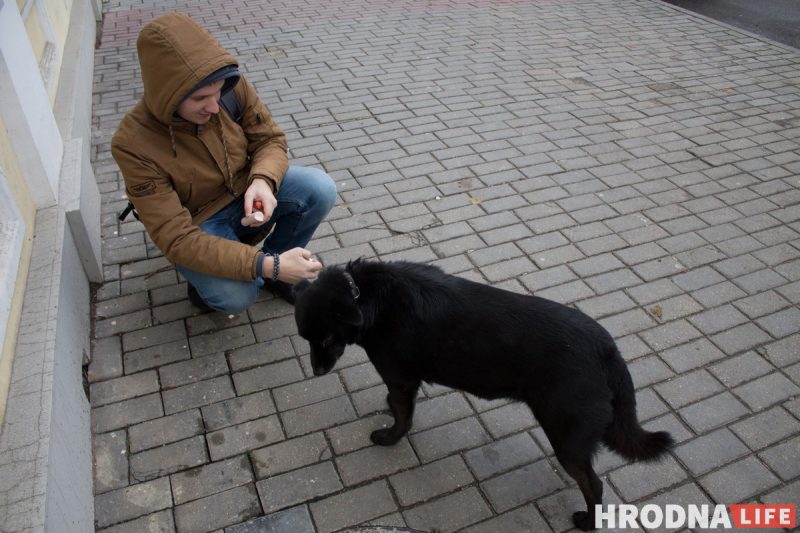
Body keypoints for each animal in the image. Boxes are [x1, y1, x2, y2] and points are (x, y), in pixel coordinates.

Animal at [292, 258, 668, 528]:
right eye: (307, 339)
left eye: (327, 338)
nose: (317, 372)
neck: (364, 293)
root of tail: (606, 349)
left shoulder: (400, 380)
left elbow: (403, 417)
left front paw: (390, 437)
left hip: (568, 438)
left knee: (594, 485)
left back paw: (588, 522)